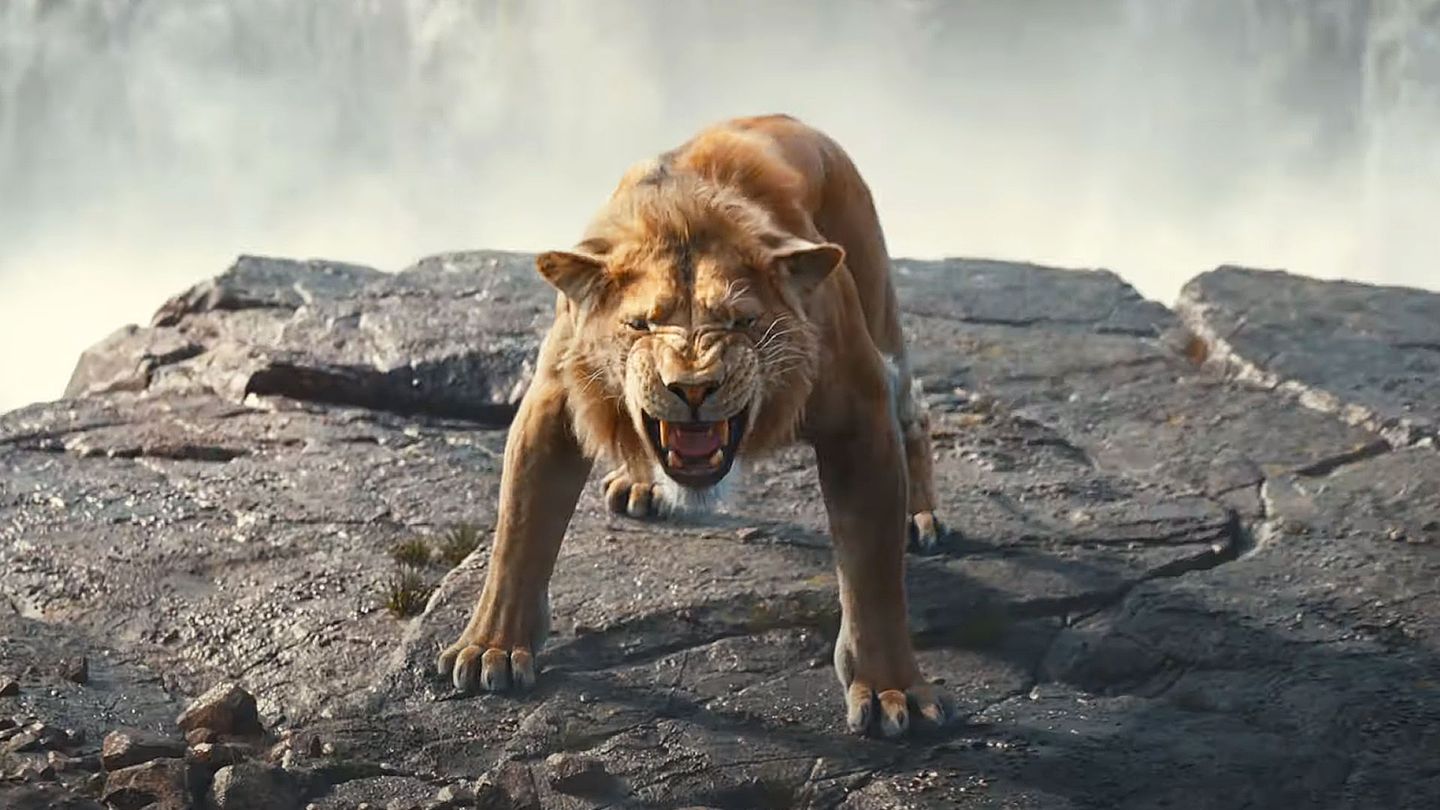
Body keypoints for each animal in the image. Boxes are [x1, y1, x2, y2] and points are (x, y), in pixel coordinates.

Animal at [437, 113, 950, 738]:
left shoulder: (860, 409)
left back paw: (919, 517)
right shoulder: (555, 399)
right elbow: (519, 531)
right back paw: (638, 485)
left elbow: (873, 574)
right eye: (640, 325)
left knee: (915, 411)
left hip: (878, 307)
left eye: (740, 322)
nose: (694, 387)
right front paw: (490, 646)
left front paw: (890, 688)